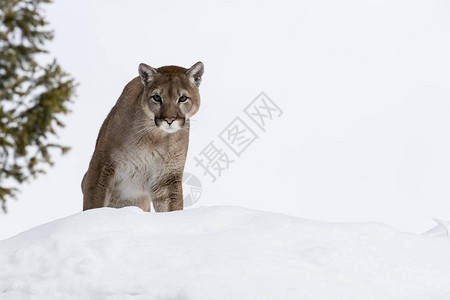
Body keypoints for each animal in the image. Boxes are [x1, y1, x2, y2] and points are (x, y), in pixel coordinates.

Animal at [81, 61, 205, 211]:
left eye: (183, 98)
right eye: (157, 97)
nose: (169, 119)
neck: (155, 138)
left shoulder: (167, 178)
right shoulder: (102, 165)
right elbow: (94, 204)